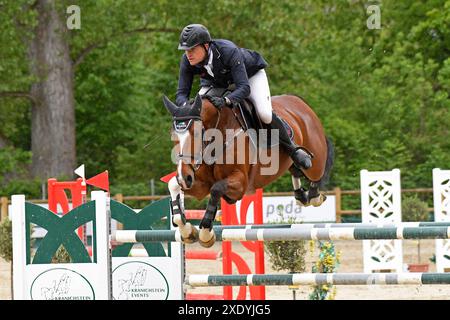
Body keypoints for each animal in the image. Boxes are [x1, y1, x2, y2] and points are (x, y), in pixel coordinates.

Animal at [163, 92, 332, 248]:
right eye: (173, 135)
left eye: (197, 133)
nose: (184, 177)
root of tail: (298, 100)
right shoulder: (200, 184)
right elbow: (173, 185)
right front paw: (187, 231)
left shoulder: (240, 184)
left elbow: (216, 189)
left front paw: (205, 234)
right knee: (296, 171)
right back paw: (301, 196)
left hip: (315, 159)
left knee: (315, 172)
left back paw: (314, 194)